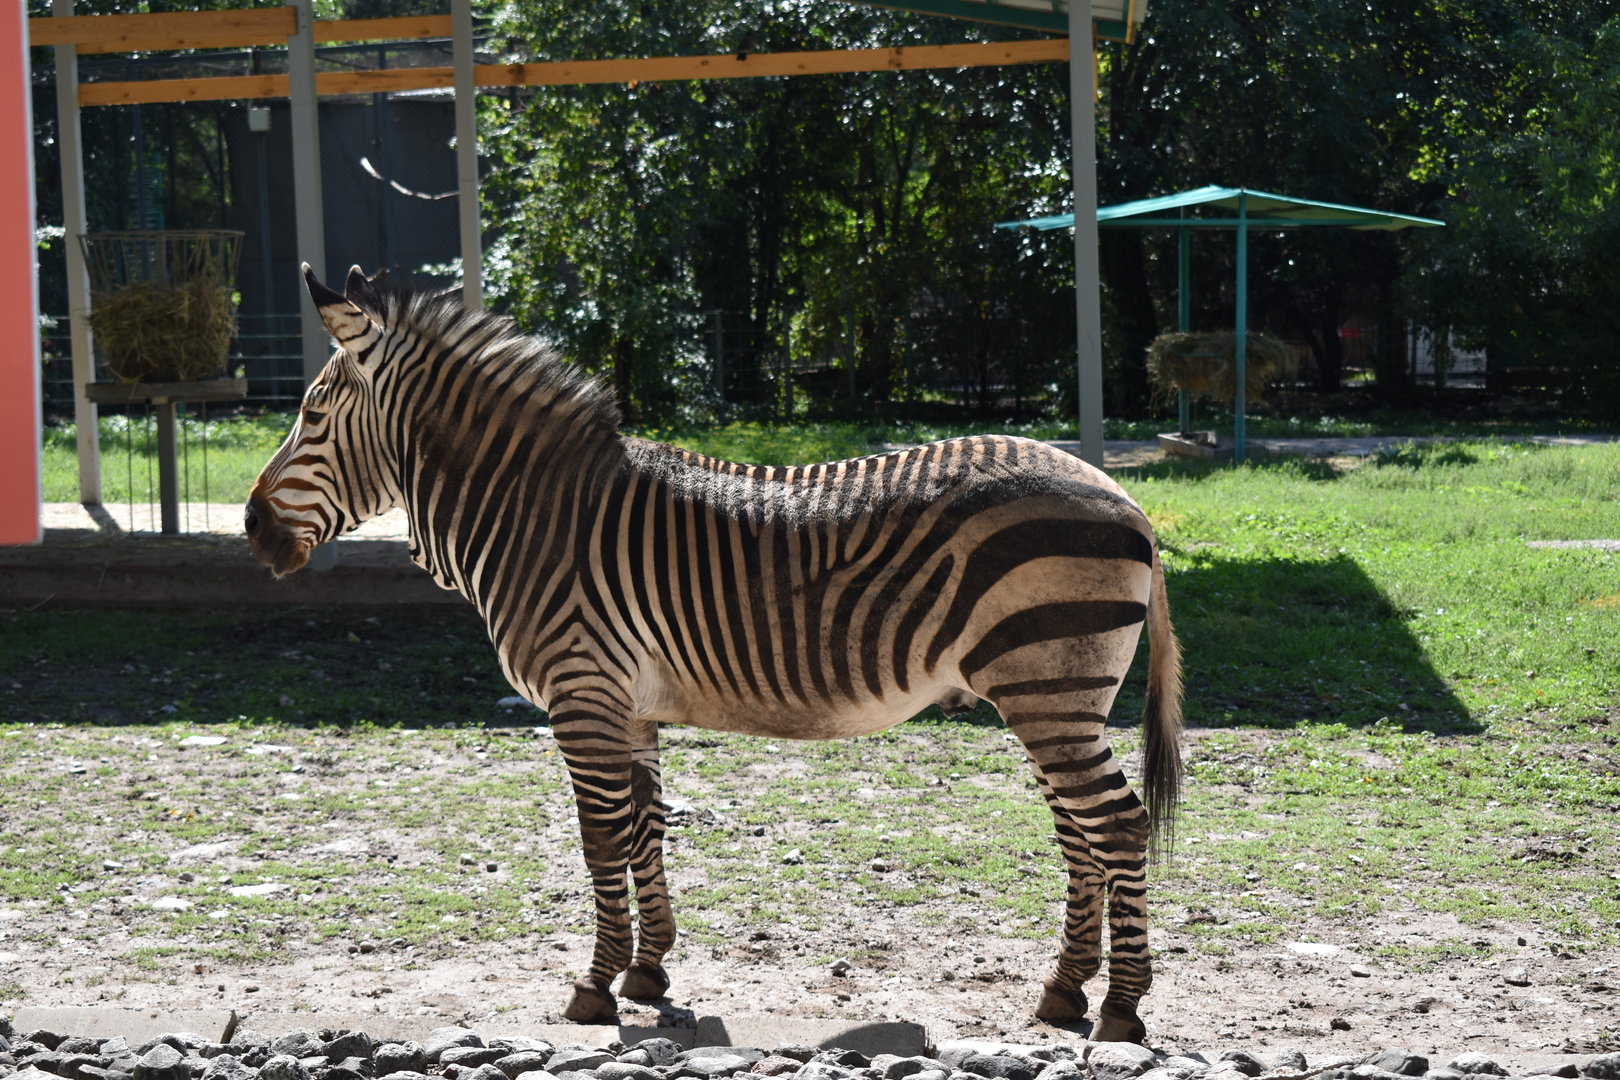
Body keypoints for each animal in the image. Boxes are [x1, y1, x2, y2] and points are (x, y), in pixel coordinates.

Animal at [245, 265, 1184, 1043]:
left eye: (312, 414)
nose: (253, 531)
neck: (535, 514)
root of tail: (1125, 497)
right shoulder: (627, 706)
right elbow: (645, 829)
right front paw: (648, 972)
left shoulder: (581, 694)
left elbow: (599, 839)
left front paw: (592, 990)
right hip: (1056, 697)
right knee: (1079, 832)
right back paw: (1063, 993)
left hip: (1050, 688)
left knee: (1117, 825)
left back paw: (1122, 1009)